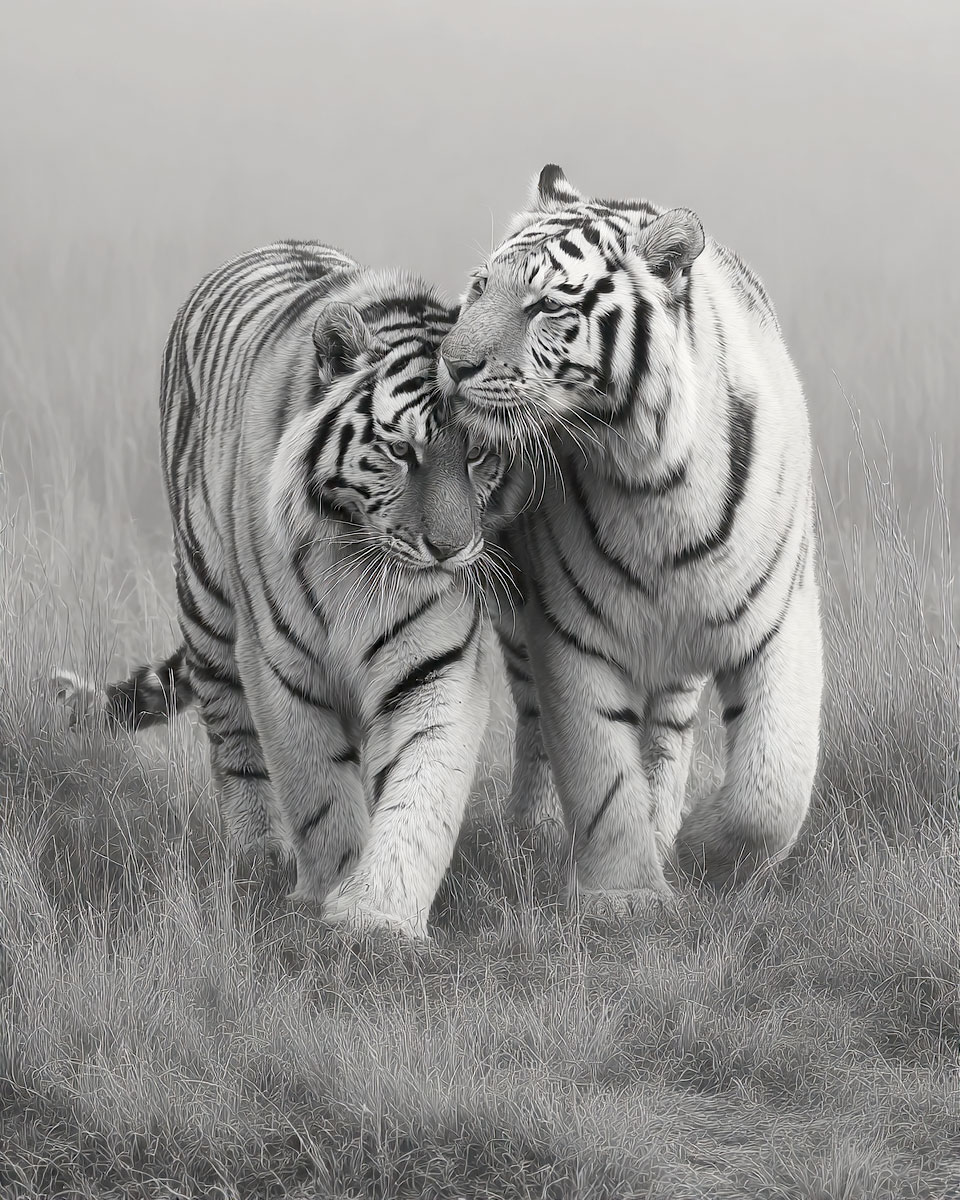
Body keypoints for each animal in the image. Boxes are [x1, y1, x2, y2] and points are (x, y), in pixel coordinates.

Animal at [54, 240, 525, 940]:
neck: (360, 559)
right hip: (208, 609)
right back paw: (257, 854)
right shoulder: (281, 664)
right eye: (402, 451)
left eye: (479, 454)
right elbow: (319, 789)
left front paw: (379, 916)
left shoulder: (435, 664)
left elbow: (422, 784)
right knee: (234, 741)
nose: (450, 548)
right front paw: (330, 891)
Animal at [437, 165, 823, 911]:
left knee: (669, 733)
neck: (653, 478)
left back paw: (668, 824)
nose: (451, 363)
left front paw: (707, 851)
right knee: (535, 723)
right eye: (479, 287)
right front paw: (625, 899)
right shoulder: (569, 632)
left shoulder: (780, 618)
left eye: (545, 306)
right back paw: (532, 834)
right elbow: (600, 770)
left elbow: (772, 783)